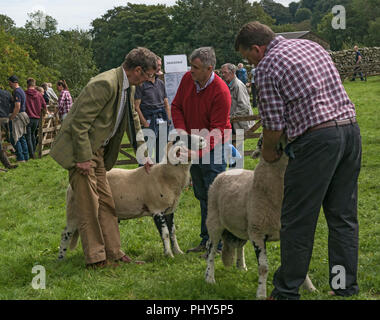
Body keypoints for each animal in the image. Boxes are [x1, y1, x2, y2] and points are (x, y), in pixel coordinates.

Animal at [58, 134, 205, 262]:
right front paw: (169, 255)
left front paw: (178, 252)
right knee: (66, 233)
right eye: (185, 137)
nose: (203, 139)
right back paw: (61, 259)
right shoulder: (157, 210)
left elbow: (173, 232)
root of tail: (69, 187)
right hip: (74, 211)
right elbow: (165, 234)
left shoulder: (169, 211)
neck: (165, 175)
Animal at [203, 136, 316, 298]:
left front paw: (310, 288)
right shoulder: (258, 232)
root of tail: (227, 172)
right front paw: (261, 293)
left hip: (242, 226)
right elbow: (263, 267)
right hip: (214, 221)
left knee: (239, 245)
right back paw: (209, 277)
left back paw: (241, 266)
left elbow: (297, 262)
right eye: (261, 142)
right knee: (211, 249)